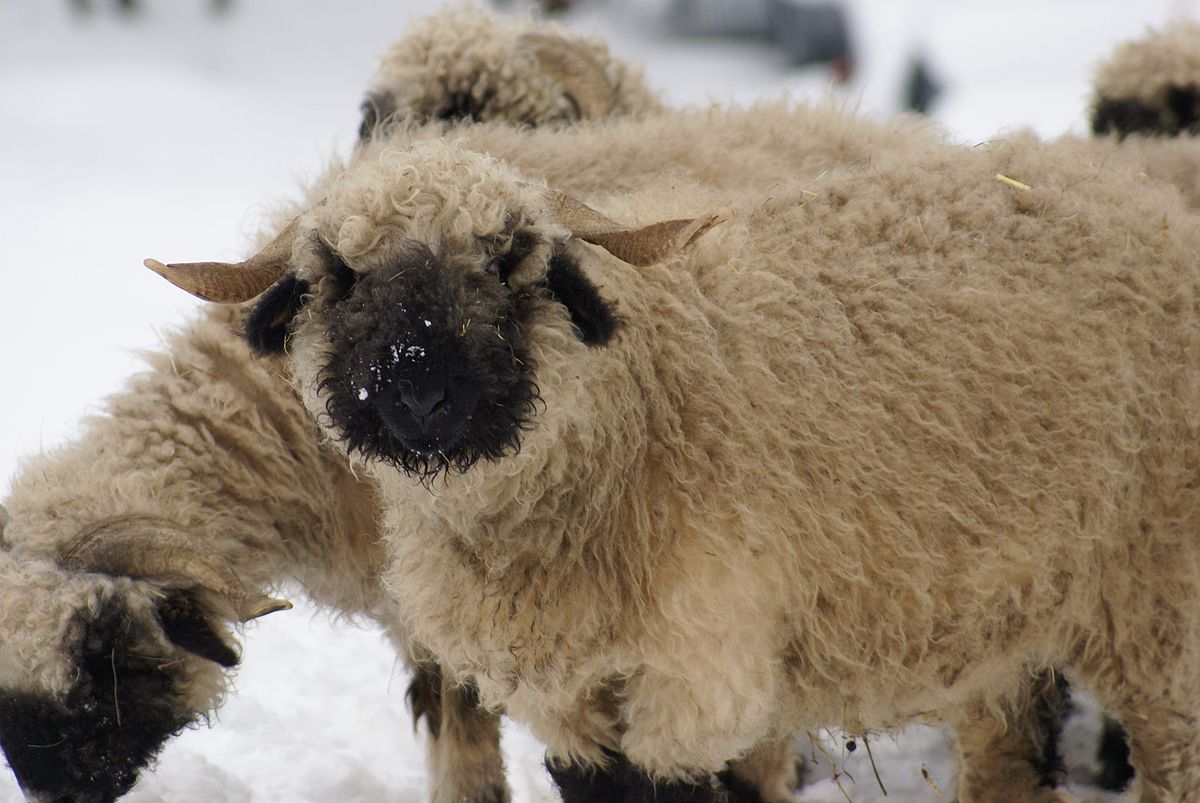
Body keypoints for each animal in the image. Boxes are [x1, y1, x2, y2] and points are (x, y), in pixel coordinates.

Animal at [150, 95, 1200, 801]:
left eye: (511, 258)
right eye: (336, 273)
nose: (416, 385)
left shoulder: (699, 680)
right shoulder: (572, 700)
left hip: (1159, 607)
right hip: (1005, 626)